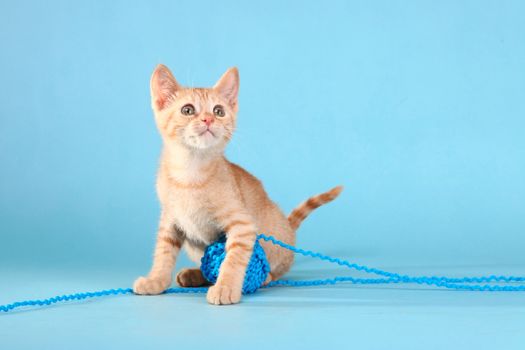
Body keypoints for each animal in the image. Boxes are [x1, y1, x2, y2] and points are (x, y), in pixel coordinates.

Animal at [133, 65, 342, 304]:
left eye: (218, 111)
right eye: (187, 110)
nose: (208, 120)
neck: (190, 172)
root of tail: (288, 227)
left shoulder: (243, 225)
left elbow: (233, 258)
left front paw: (225, 287)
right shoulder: (170, 220)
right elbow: (163, 253)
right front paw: (155, 280)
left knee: (277, 271)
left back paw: (263, 277)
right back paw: (194, 275)